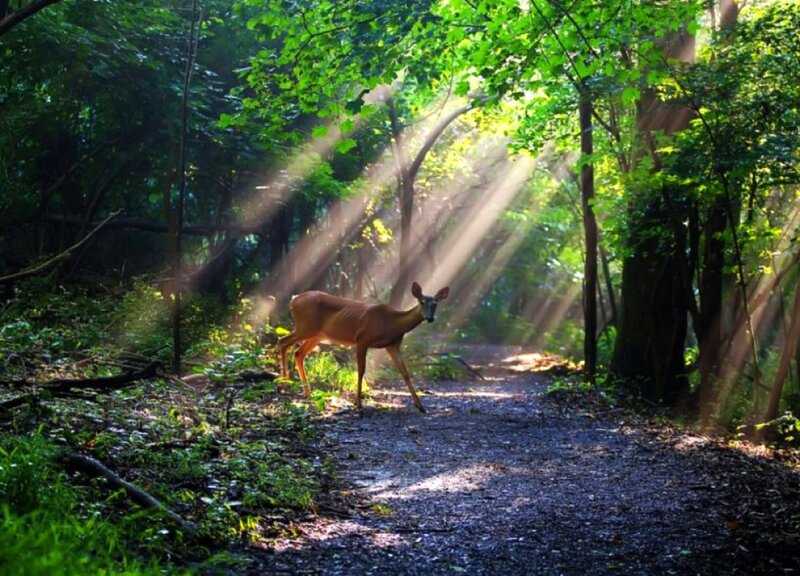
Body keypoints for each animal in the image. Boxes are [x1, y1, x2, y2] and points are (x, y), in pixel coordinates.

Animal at [278, 282, 449, 413]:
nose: (430, 318)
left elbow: (405, 372)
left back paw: (307, 393)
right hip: (305, 327)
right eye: (422, 302)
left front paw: (420, 406)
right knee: (283, 341)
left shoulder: (392, 345)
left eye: (435, 304)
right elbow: (361, 370)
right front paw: (359, 404)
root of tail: (293, 300)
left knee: (298, 353)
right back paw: (283, 385)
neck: (392, 323)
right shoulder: (362, 339)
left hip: (317, 335)